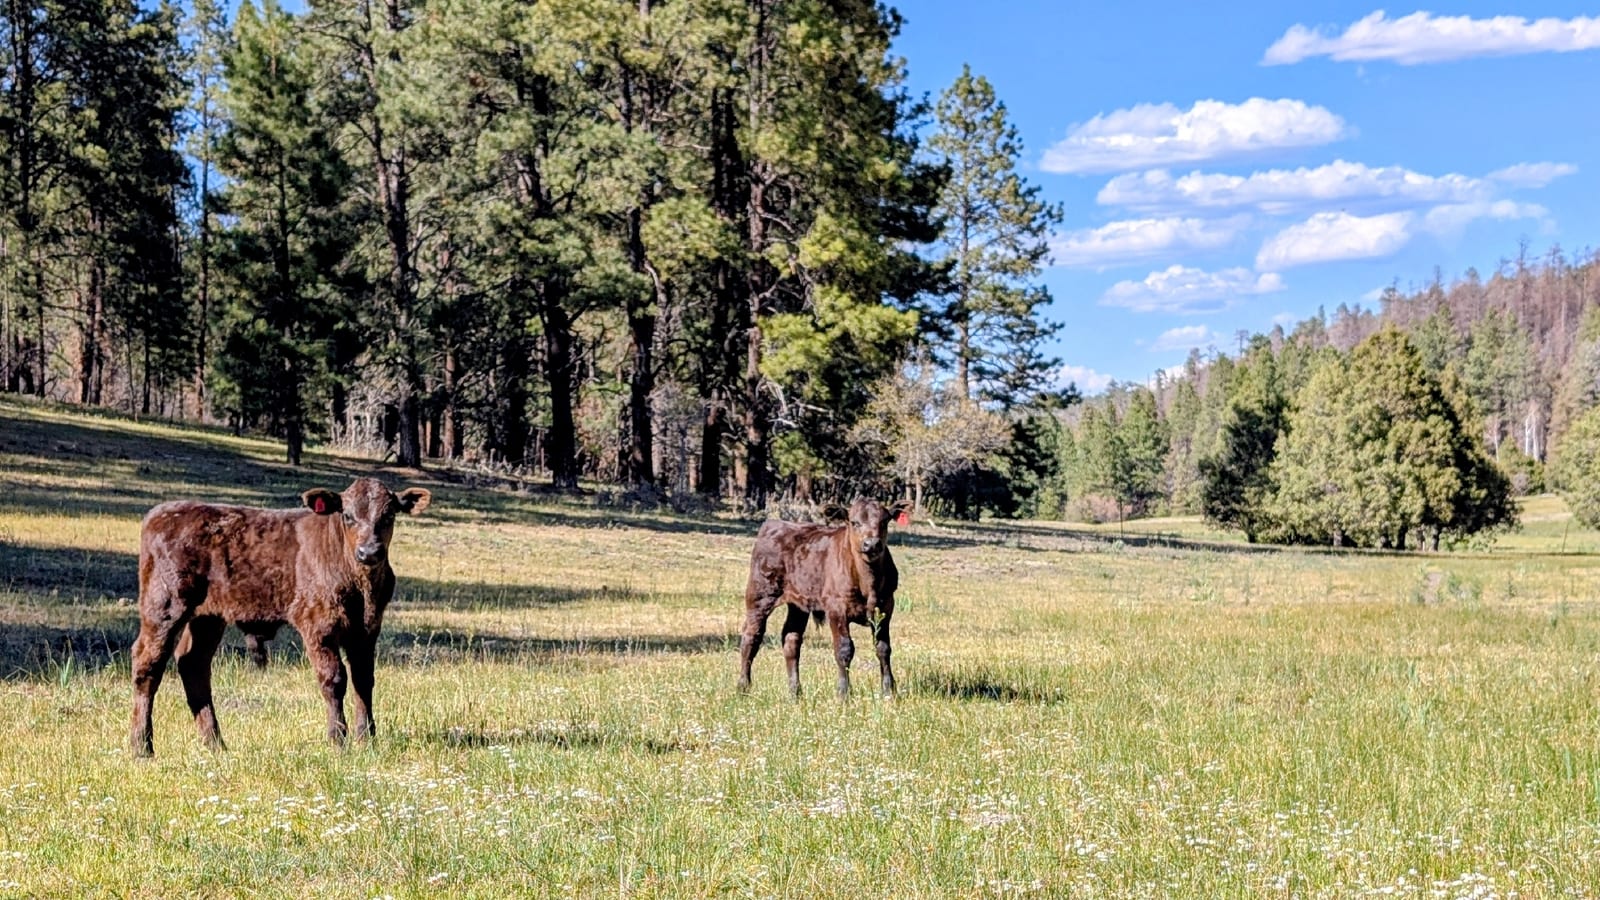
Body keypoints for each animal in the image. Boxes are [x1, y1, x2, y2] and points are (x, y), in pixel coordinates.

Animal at [128, 477, 431, 757]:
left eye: (389, 515)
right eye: (347, 515)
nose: (369, 552)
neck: (361, 587)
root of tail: (162, 512)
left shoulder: (366, 631)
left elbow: (364, 680)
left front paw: (367, 739)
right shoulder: (318, 626)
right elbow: (334, 679)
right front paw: (338, 740)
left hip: (208, 617)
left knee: (193, 665)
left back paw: (216, 744)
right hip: (164, 607)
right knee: (148, 664)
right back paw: (142, 747)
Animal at [737, 497, 913, 699]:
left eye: (884, 522)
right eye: (854, 522)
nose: (872, 544)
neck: (869, 585)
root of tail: (775, 523)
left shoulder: (885, 608)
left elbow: (883, 648)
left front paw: (889, 690)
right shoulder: (836, 609)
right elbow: (844, 649)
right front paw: (844, 692)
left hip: (798, 604)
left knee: (791, 640)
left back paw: (795, 692)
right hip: (760, 595)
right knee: (752, 636)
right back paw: (743, 687)